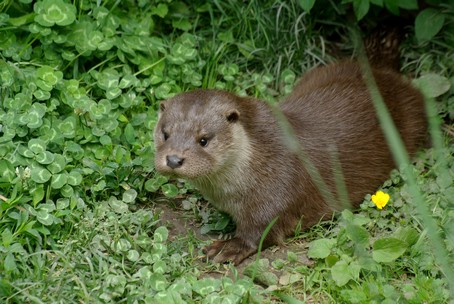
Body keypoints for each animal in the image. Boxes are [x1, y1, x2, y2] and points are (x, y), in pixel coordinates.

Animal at [154, 31, 428, 264]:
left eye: (204, 140)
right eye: (165, 134)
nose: (174, 160)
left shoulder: (277, 191)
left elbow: (260, 232)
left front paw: (228, 247)